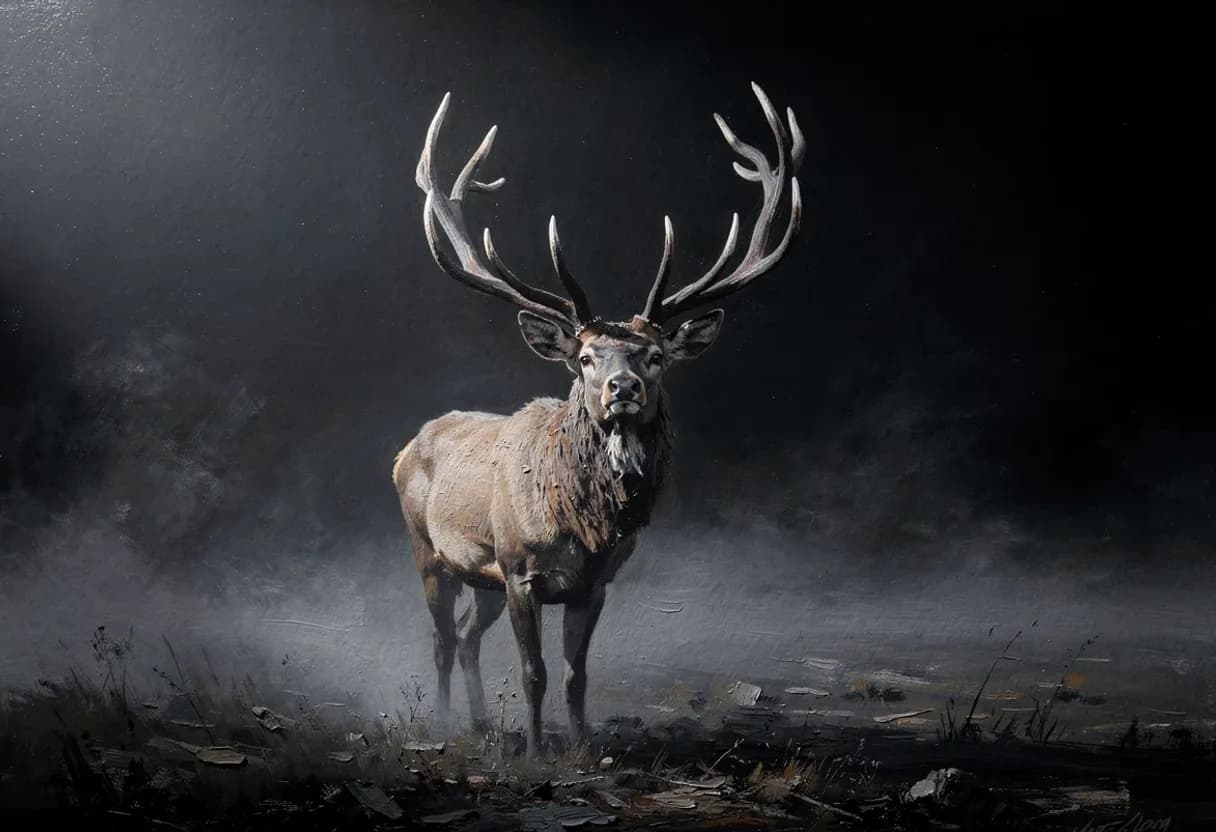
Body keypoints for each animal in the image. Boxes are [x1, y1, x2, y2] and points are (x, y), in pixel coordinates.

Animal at [392, 83, 806, 758]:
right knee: (442, 641)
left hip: (480, 575)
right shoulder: (519, 569)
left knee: (470, 636)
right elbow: (533, 672)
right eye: (585, 357)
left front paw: (584, 749)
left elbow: (576, 673)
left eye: (656, 355)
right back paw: (448, 725)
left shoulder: (595, 582)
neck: (582, 525)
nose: (623, 388)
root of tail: (407, 447)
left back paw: (481, 726)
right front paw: (538, 755)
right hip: (429, 551)